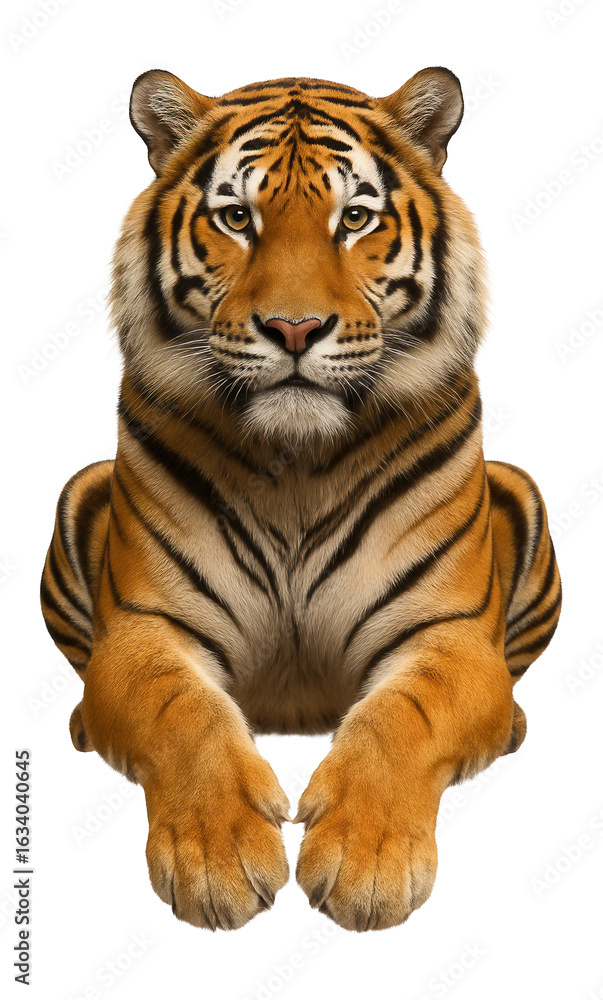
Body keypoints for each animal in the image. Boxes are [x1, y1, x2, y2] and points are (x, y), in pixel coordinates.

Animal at [40, 66, 562, 933]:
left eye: (353, 218)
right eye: (236, 218)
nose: (293, 328)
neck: (296, 463)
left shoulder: (447, 631)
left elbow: (403, 715)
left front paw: (365, 863)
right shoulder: (146, 625)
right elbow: (179, 712)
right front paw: (216, 859)